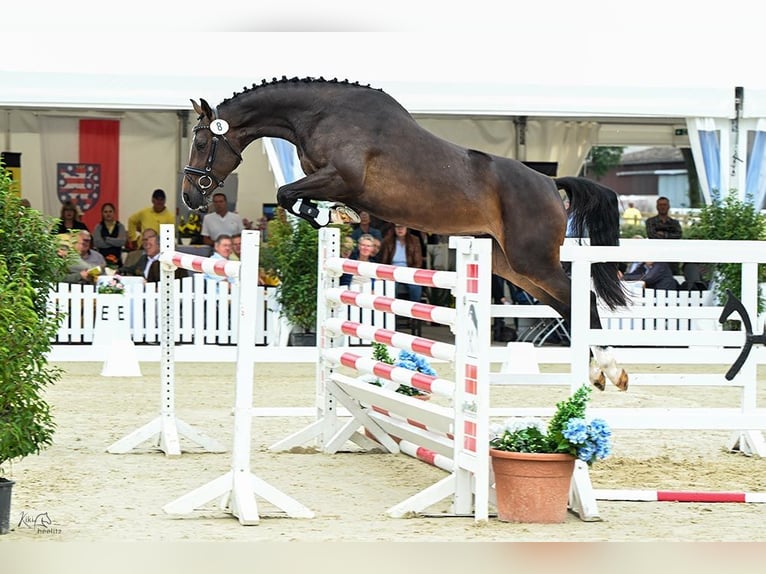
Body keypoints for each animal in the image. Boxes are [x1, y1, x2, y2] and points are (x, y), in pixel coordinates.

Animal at [182, 76, 632, 392]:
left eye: (201, 142)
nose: (190, 197)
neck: (320, 114)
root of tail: (550, 183)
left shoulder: (341, 177)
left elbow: (287, 193)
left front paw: (332, 215)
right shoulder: (327, 179)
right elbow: (293, 195)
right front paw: (337, 215)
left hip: (532, 259)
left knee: (581, 298)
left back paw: (611, 370)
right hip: (512, 265)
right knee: (567, 305)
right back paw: (597, 372)